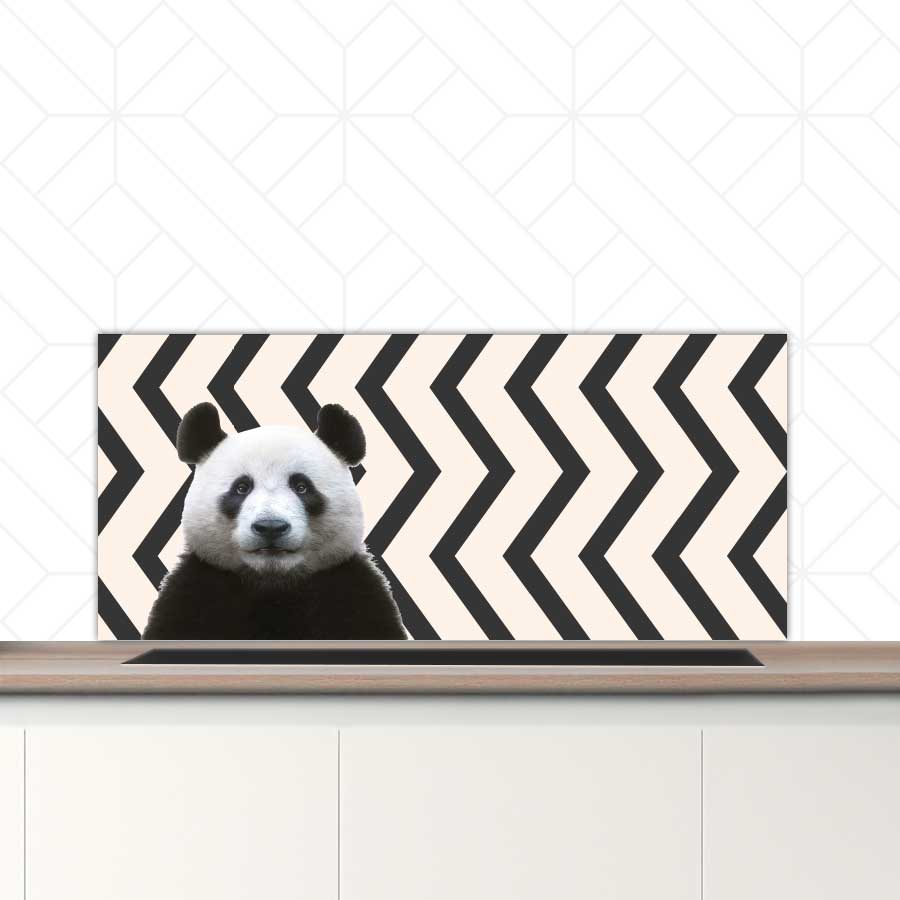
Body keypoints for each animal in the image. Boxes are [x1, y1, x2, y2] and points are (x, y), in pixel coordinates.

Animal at [142, 401, 408, 640]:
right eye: (241, 487)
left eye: (302, 486)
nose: (270, 527)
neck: (272, 584)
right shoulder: (196, 591)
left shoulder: (351, 590)